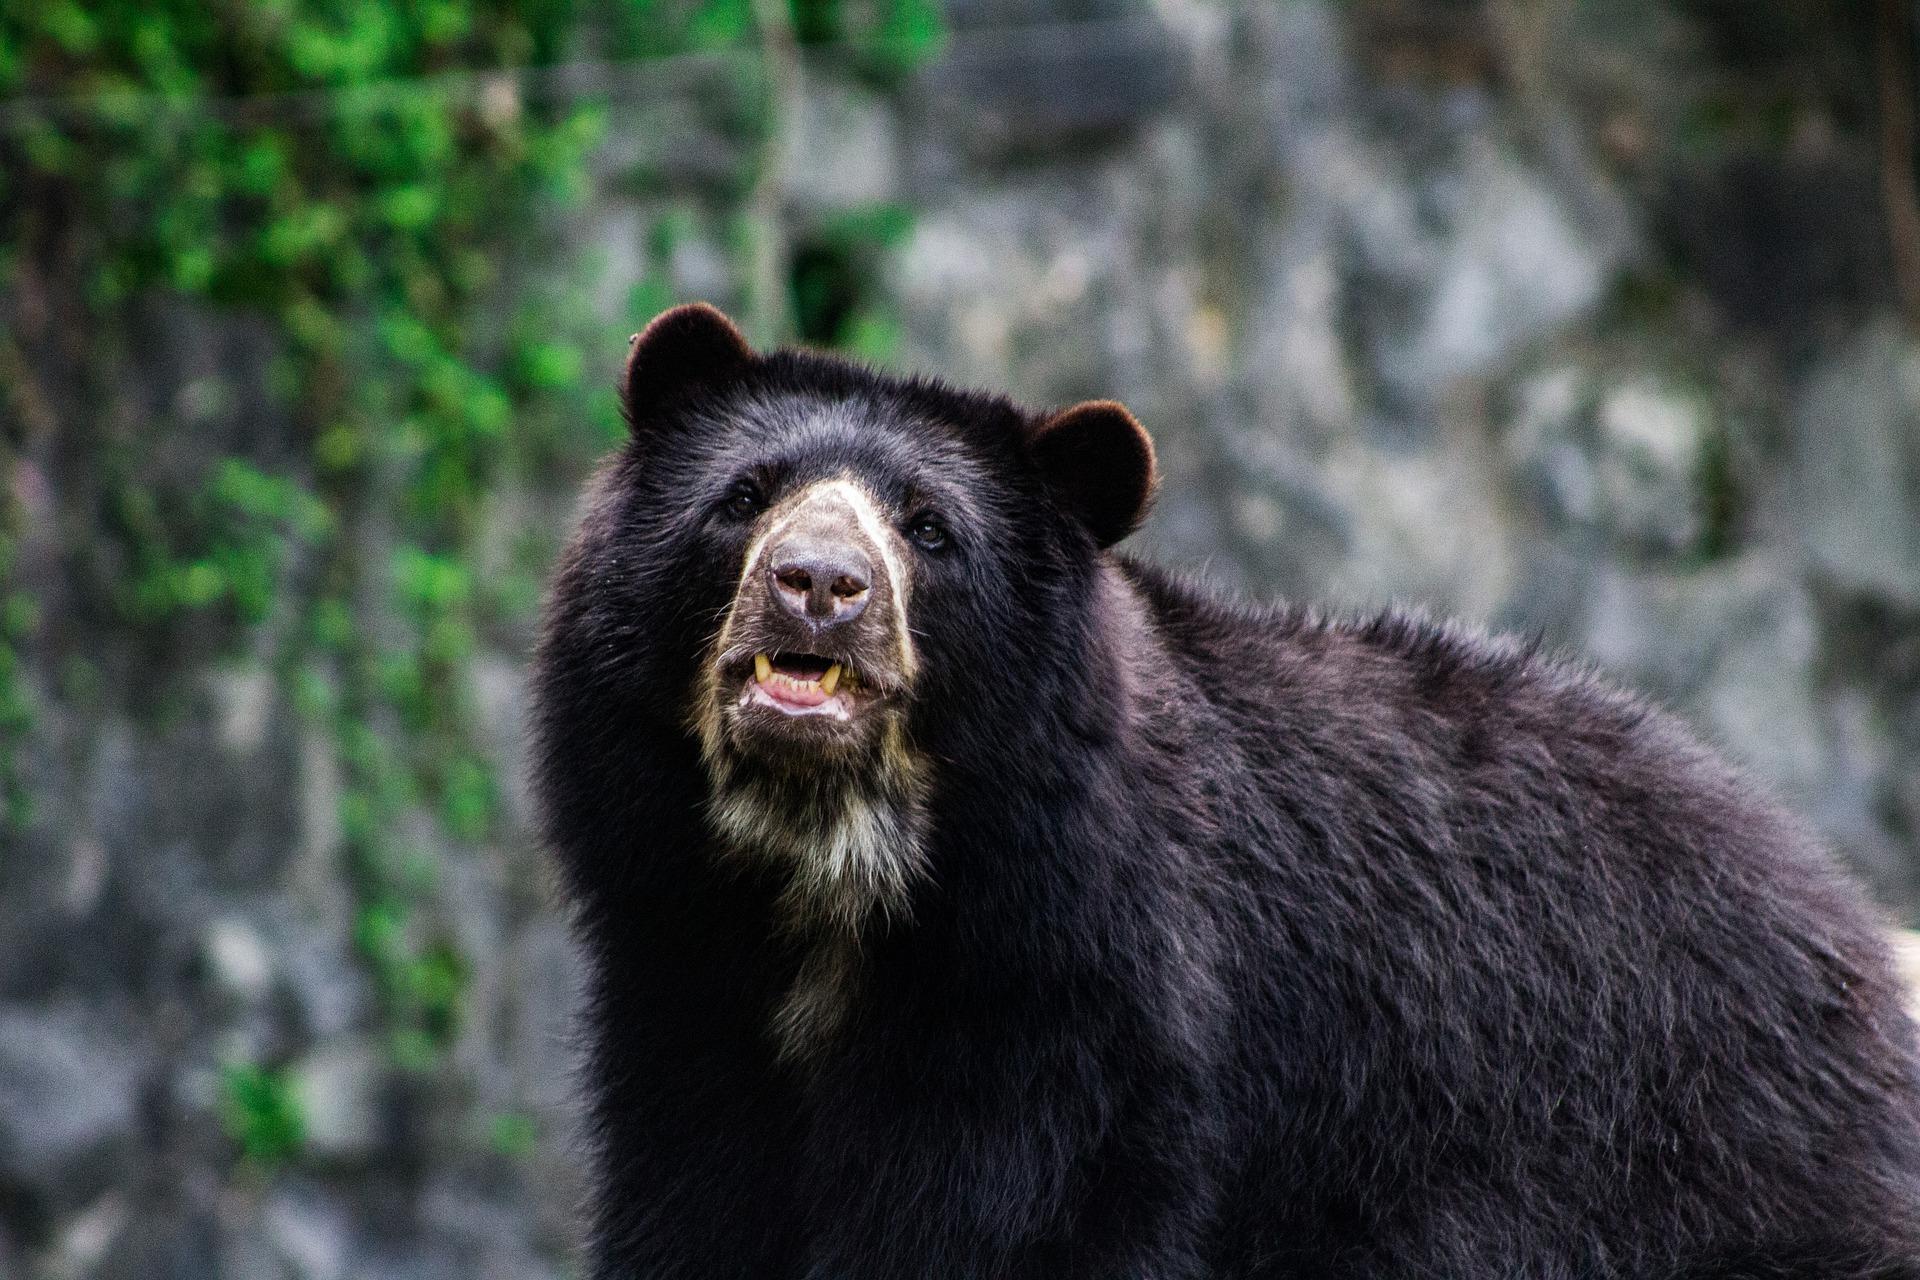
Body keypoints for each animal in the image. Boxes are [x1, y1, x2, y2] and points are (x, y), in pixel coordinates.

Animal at [533, 303, 1920, 1280]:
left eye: (929, 529)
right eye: (745, 497)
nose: (819, 585)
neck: (838, 886)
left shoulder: (1079, 1016)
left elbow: (1014, 1222)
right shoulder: (685, 981)